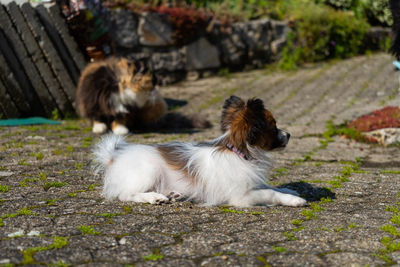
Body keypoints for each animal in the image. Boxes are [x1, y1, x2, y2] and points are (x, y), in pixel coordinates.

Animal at [93, 95, 306, 208]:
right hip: (147, 171)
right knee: (126, 194)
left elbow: (271, 187)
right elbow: (270, 193)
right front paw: (294, 200)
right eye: (274, 127)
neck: (237, 152)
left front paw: (289, 190)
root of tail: (113, 157)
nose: (289, 134)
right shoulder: (241, 196)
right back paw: (153, 197)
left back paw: (172, 194)